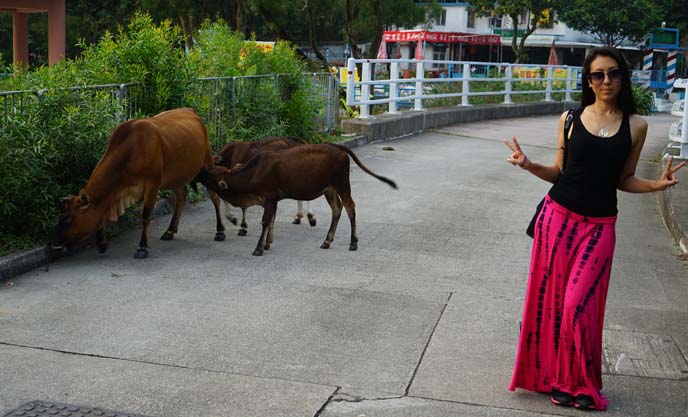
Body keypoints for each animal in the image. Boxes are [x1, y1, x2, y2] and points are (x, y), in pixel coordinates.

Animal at [49, 107, 226, 256]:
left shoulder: (152, 185)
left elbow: (146, 216)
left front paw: (142, 247)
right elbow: (103, 214)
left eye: (68, 218)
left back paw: (220, 231)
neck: (131, 151)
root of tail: (191, 111)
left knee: (214, 196)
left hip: (208, 163)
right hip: (177, 176)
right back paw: (170, 231)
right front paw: (102, 243)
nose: (53, 243)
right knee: (181, 196)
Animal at [194, 143, 398, 255]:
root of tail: (337, 147)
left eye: (210, 175)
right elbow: (272, 220)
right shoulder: (272, 200)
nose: (200, 171)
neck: (254, 172)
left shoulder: (270, 198)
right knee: (337, 209)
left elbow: (265, 221)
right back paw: (327, 241)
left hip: (342, 185)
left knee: (350, 207)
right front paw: (268, 243)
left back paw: (353, 242)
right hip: (329, 189)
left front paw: (259, 248)